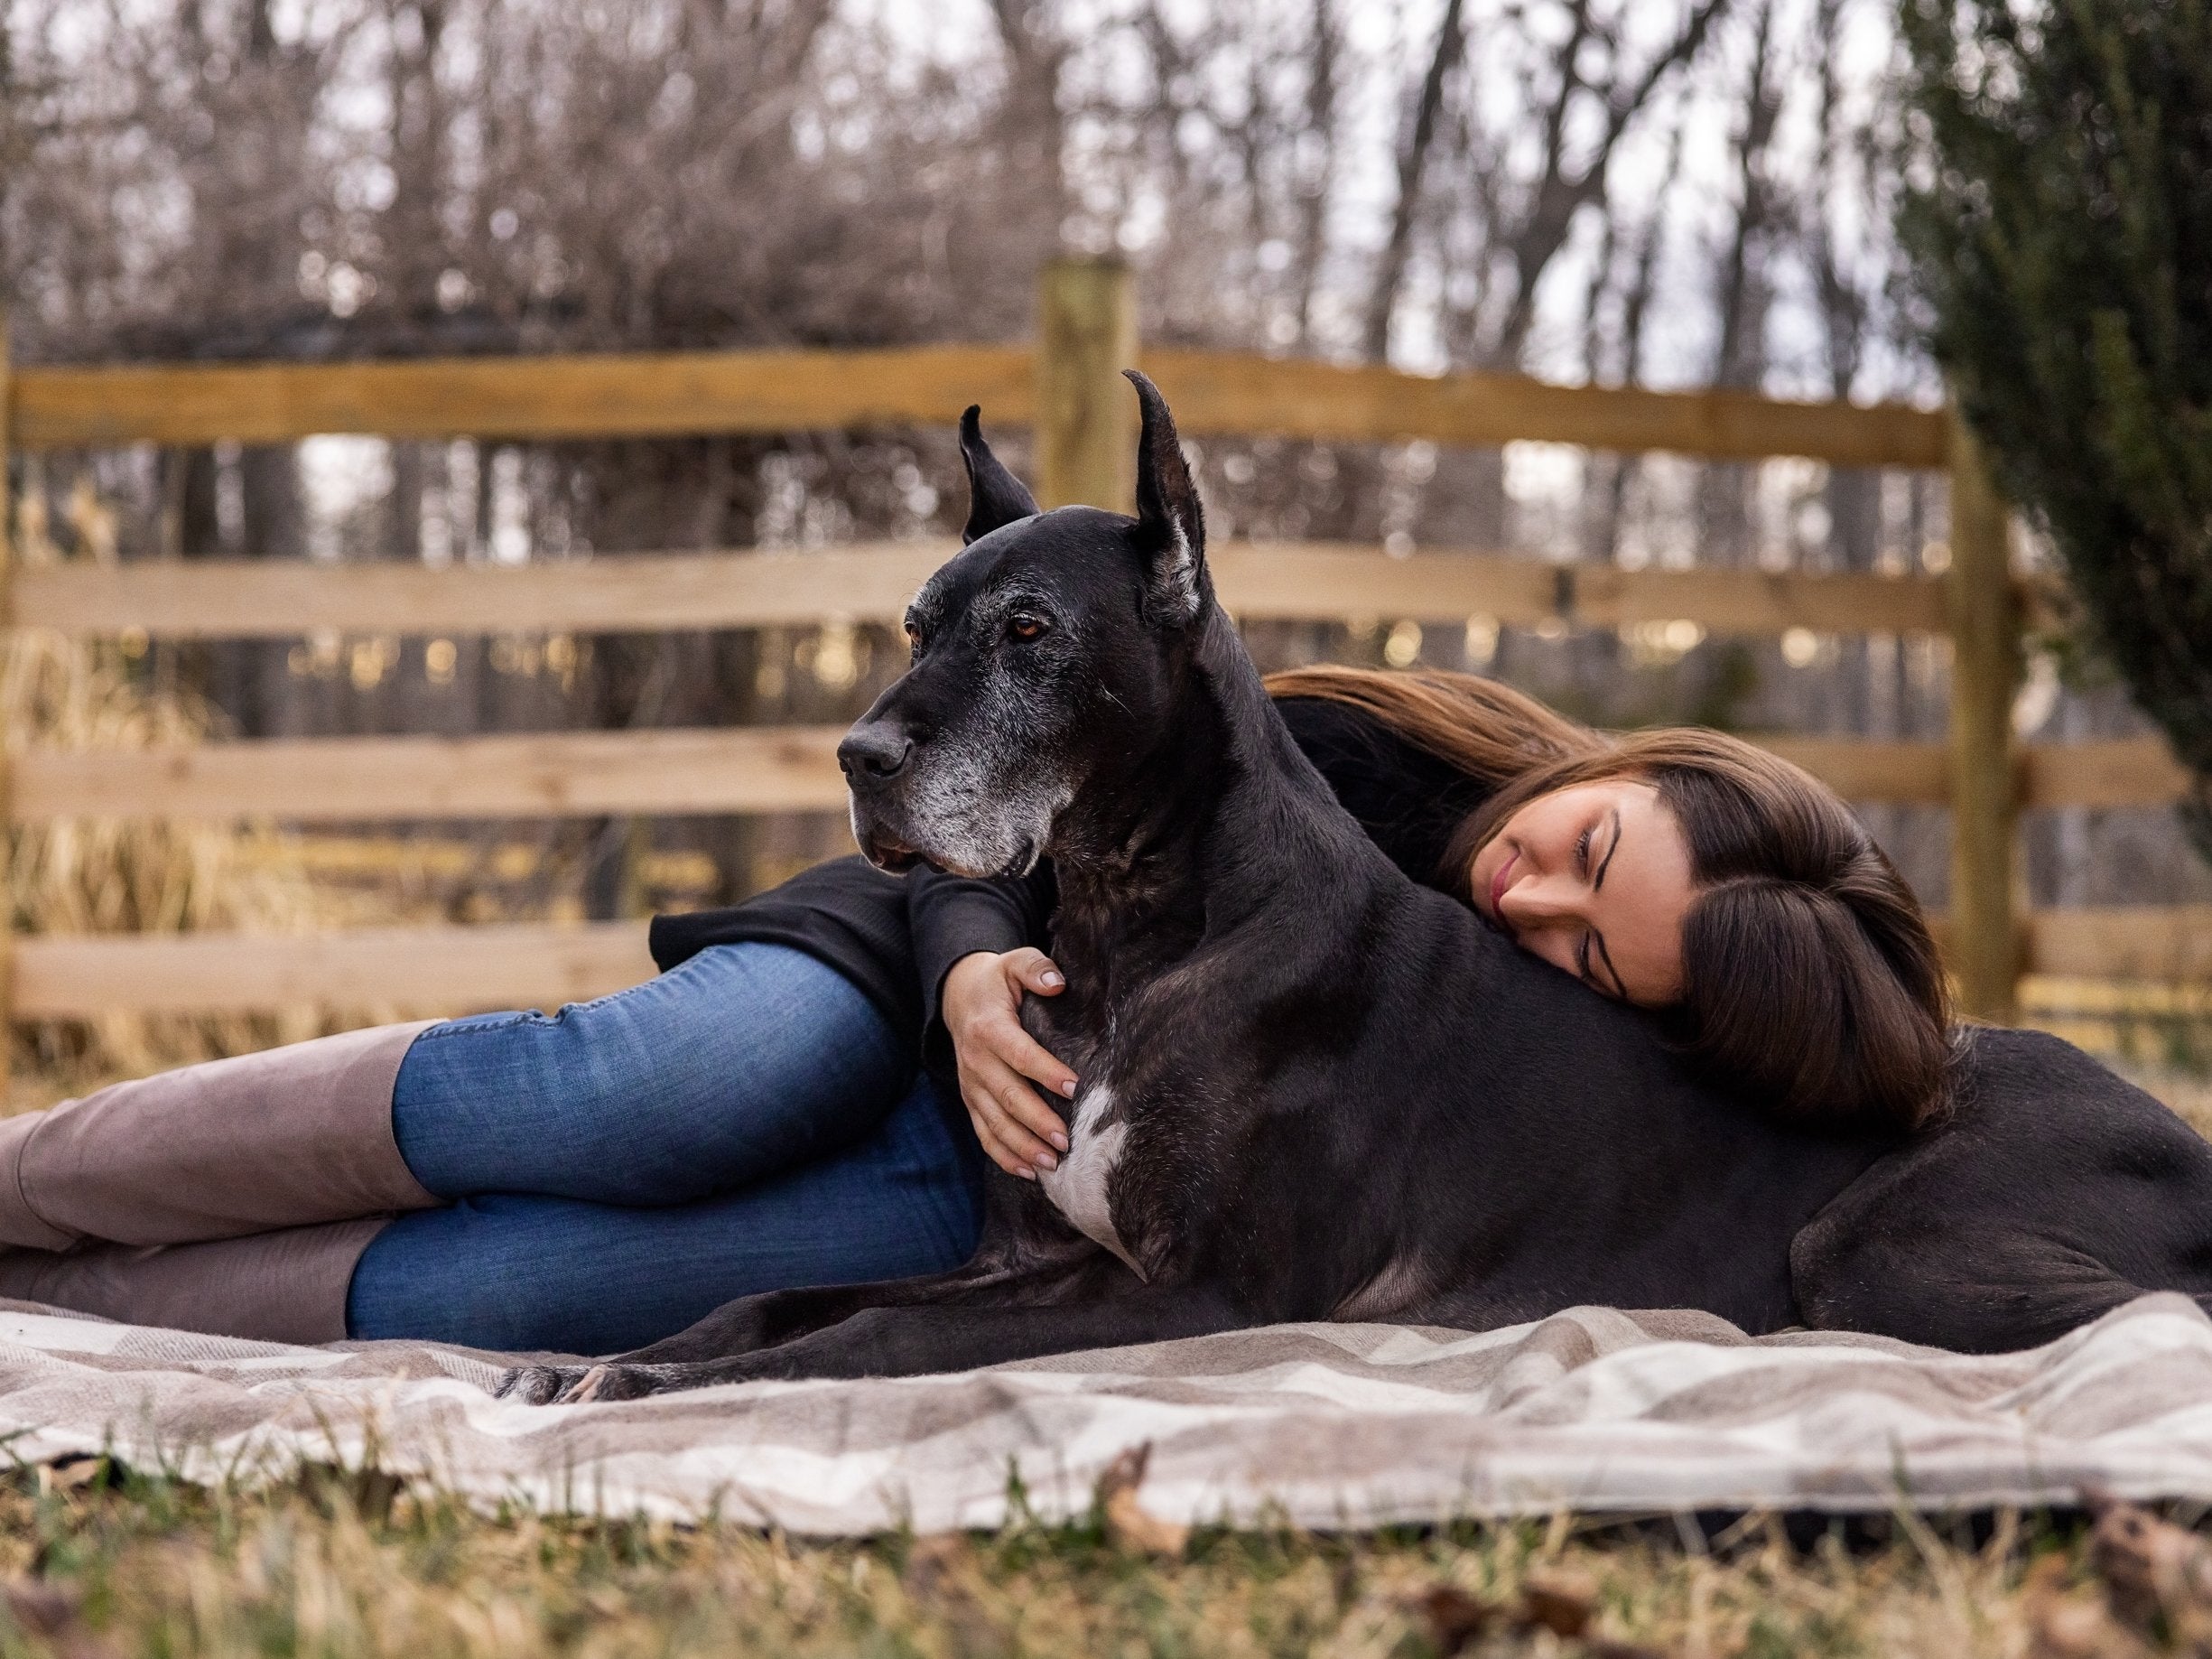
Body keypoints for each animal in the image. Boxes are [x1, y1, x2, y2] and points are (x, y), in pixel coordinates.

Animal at [507, 373, 2212, 1406]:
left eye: (1030, 633)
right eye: (918, 621)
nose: (860, 757)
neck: (1134, 921)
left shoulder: (1185, 1292)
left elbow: (862, 1331)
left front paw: (655, 1383)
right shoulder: (1022, 1254)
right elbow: (776, 1299)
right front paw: (630, 1355)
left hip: (1875, 1247)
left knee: (2144, 1322)